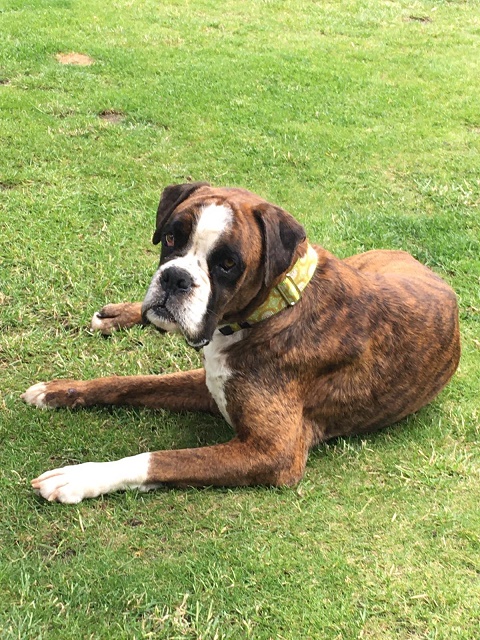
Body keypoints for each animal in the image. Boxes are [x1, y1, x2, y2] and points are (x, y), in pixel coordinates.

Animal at [22, 183, 460, 503]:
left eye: (228, 264)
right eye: (170, 238)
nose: (176, 277)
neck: (275, 308)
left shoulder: (272, 453)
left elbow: (159, 459)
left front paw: (80, 477)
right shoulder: (209, 381)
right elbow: (127, 383)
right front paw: (59, 390)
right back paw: (118, 316)